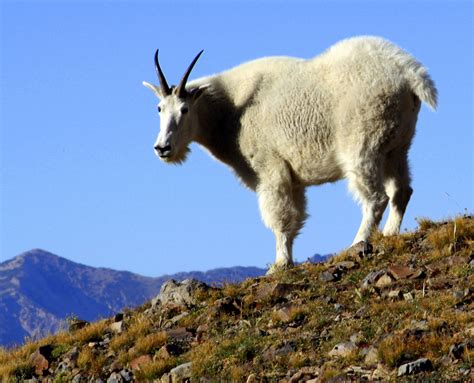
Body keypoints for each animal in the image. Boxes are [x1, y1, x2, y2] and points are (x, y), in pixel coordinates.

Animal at [143, 36, 436, 272]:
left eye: (185, 110)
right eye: (159, 108)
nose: (162, 148)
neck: (230, 110)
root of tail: (410, 73)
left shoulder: (270, 169)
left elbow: (279, 218)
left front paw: (279, 265)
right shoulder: (293, 178)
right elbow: (295, 218)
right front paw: (288, 259)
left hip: (363, 145)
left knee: (376, 197)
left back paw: (358, 243)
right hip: (397, 147)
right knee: (401, 190)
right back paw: (390, 234)